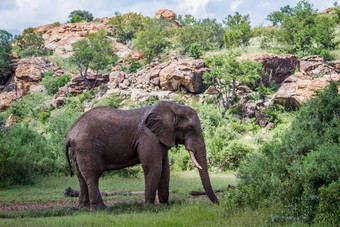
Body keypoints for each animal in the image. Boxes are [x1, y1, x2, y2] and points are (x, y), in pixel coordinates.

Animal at [65, 100, 219, 210]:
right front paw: (149, 207)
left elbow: (165, 169)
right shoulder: (148, 137)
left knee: (81, 177)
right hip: (87, 147)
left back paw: (83, 208)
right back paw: (101, 209)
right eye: (189, 128)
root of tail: (70, 134)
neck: (170, 108)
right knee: (92, 176)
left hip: (78, 150)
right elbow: (154, 167)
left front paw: (164, 206)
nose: (218, 204)